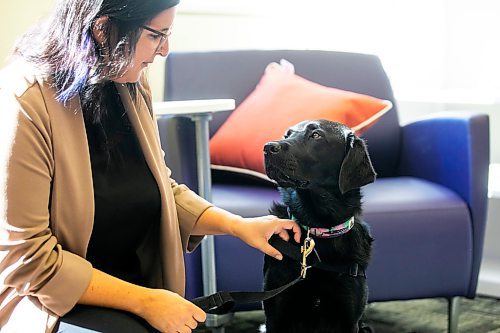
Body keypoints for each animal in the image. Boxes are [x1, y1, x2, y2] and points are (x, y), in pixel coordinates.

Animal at [262, 119, 376, 332]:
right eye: (287, 134)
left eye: (316, 135)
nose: (267, 147)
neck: (318, 227)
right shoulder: (275, 315)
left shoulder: (350, 319)